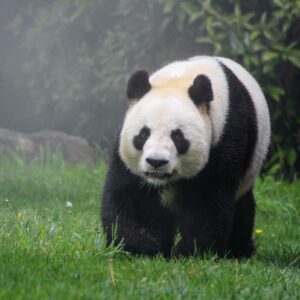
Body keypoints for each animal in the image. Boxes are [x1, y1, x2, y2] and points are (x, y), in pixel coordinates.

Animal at [102, 56, 270, 258]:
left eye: (177, 137)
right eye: (143, 134)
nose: (156, 162)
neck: (179, 80)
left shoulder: (225, 137)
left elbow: (208, 200)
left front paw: (190, 252)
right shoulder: (125, 152)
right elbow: (127, 196)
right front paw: (145, 245)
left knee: (242, 208)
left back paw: (240, 250)